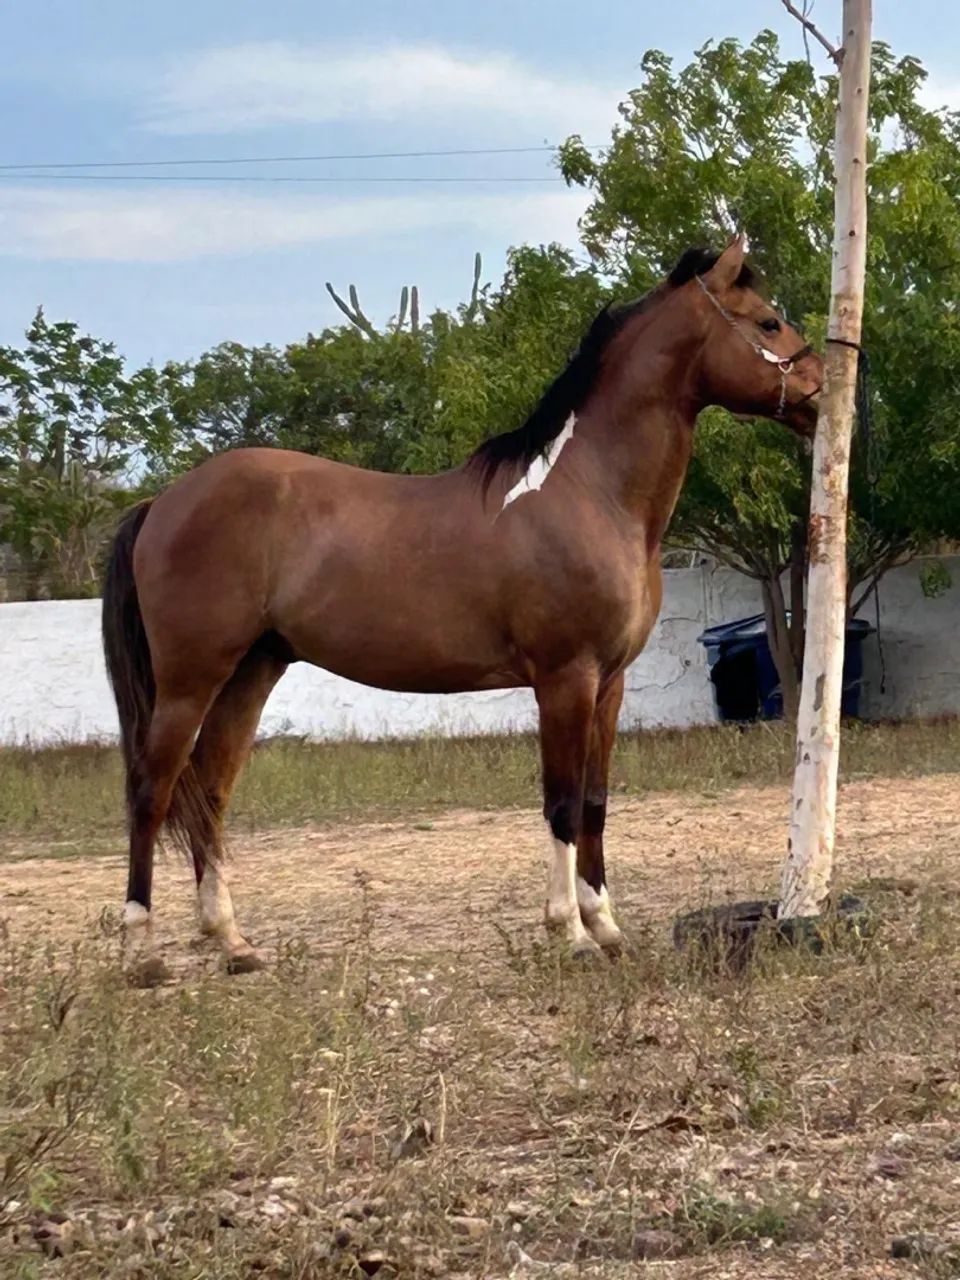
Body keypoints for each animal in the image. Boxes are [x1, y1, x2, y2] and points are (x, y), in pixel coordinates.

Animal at [102, 235, 821, 984]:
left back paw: (233, 942)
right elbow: (561, 803)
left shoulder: (610, 683)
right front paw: (570, 933)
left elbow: (595, 803)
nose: (824, 391)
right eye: (768, 322)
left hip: (252, 671)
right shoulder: (565, 679)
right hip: (190, 680)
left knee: (210, 791)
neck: (588, 491)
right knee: (152, 791)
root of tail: (163, 500)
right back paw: (140, 952)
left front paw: (607, 927)